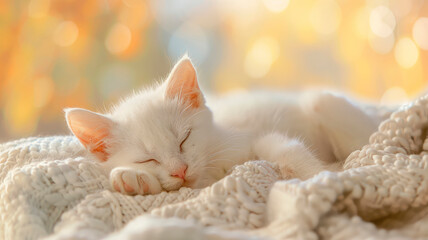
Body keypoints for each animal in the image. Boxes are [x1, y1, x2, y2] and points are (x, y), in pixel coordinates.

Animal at [66, 55, 382, 195]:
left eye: (184, 138)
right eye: (147, 159)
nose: (180, 170)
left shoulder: (248, 139)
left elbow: (280, 147)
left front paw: (324, 176)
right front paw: (131, 178)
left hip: (324, 102)